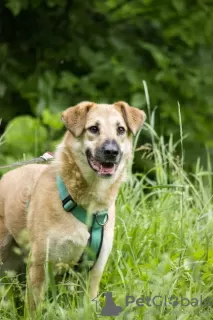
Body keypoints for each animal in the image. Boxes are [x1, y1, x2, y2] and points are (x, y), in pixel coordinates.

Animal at [0, 101, 146, 308]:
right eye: (93, 129)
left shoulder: (93, 271)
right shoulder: (39, 266)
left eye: (121, 129)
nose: (111, 151)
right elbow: (34, 309)